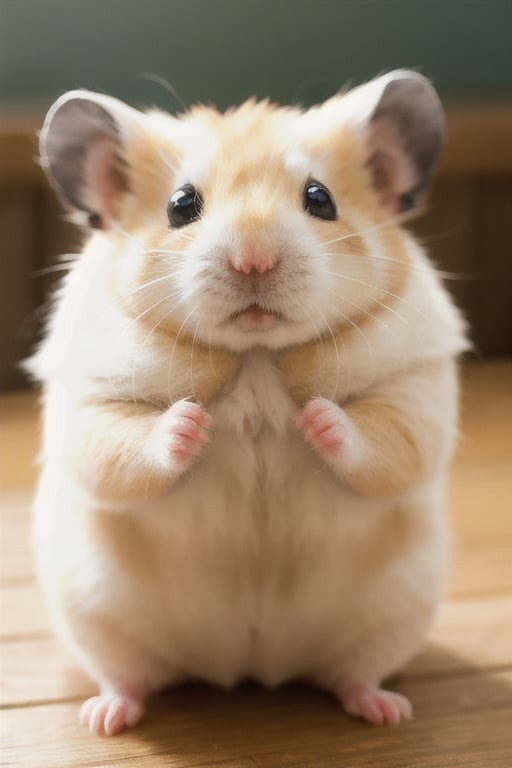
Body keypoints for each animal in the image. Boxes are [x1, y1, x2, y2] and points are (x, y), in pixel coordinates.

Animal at [29, 73, 468, 736]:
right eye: (181, 205)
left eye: (320, 198)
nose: (253, 262)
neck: (258, 355)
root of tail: (252, 668)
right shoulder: (91, 400)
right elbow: (121, 448)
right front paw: (193, 422)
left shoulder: (413, 389)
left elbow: (381, 441)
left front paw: (311, 418)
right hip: (92, 612)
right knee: (128, 675)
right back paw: (105, 718)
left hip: (398, 611)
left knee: (353, 673)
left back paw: (387, 712)